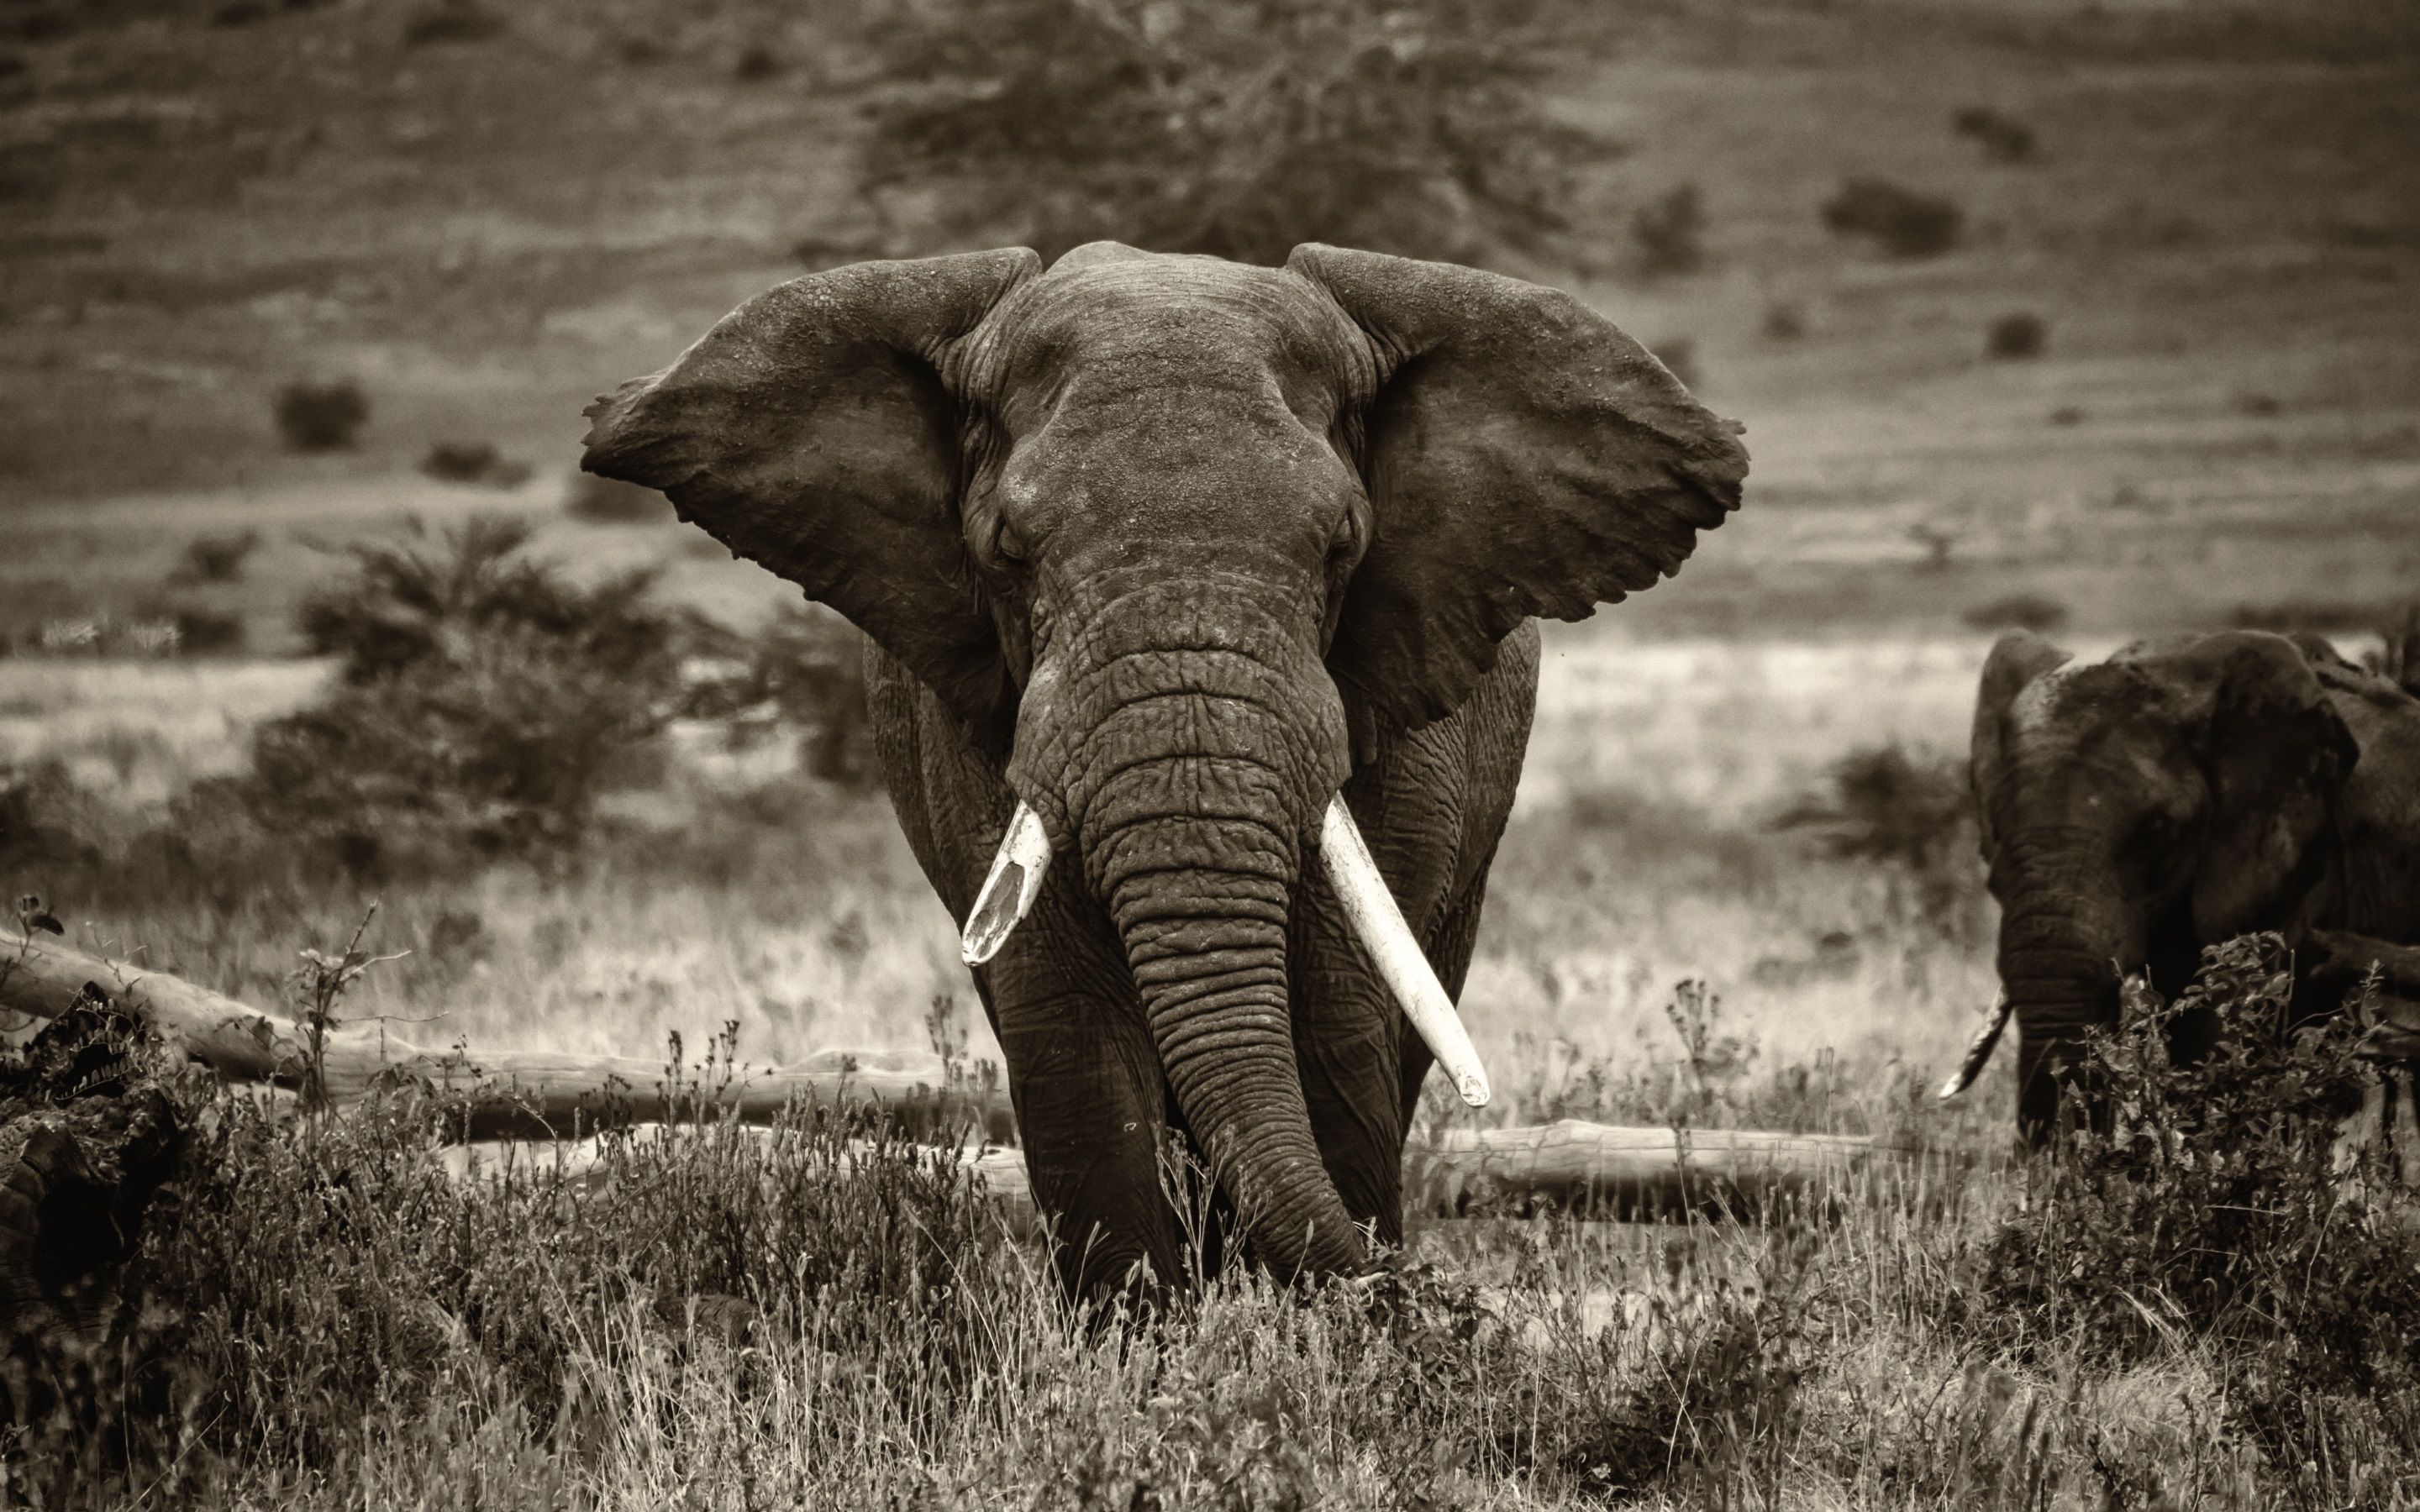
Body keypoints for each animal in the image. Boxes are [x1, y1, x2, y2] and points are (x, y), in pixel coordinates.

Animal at [579, 242, 1748, 1299]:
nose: (1434, 1297)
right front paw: (1142, 1355)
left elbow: (1332, 1015)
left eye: (1342, 546)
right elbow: (1071, 1035)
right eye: (1008, 551)